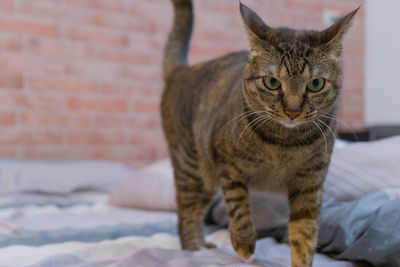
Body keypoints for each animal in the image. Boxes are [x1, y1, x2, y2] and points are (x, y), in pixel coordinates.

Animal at [161, 1, 358, 266]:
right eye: (272, 82)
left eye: (315, 84)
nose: (292, 111)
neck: (284, 144)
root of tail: (181, 69)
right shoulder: (226, 160)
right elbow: (238, 205)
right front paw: (244, 244)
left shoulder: (310, 183)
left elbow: (305, 236)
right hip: (193, 169)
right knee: (186, 213)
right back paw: (193, 250)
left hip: (206, 181)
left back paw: (203, 245)